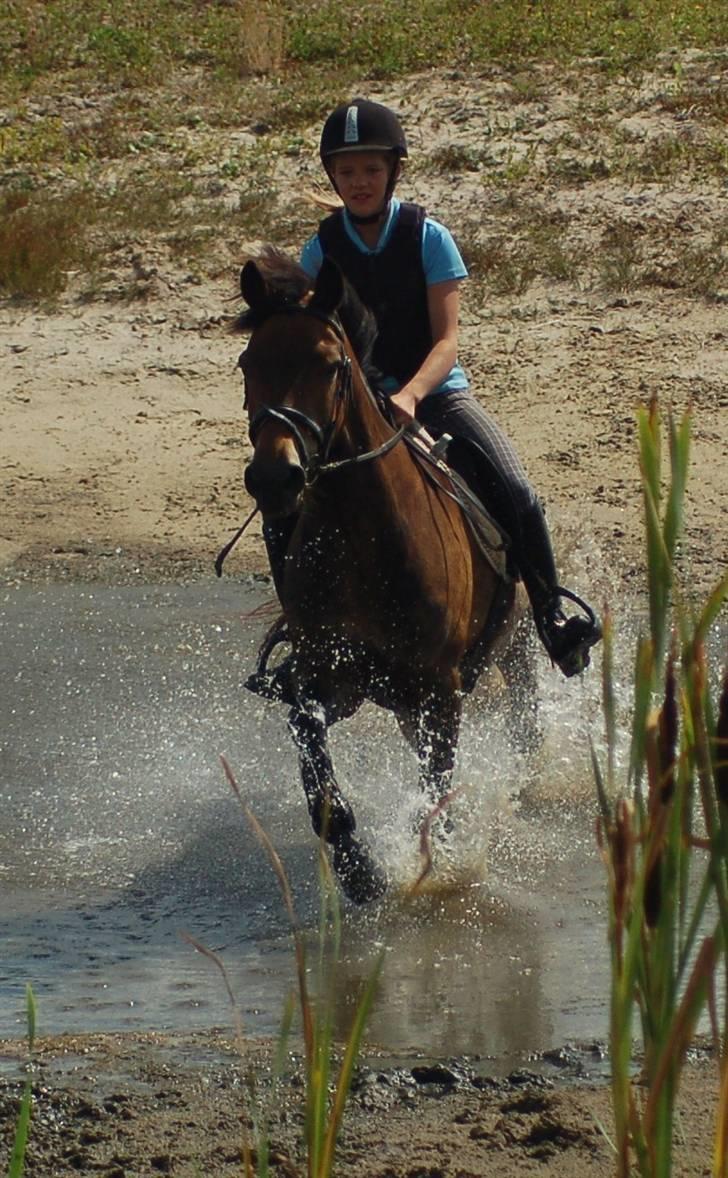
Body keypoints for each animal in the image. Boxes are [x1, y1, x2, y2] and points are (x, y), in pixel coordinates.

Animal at [232, 248, 536, 904]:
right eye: (248, 364)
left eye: (328, 365)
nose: (274, 477)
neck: (366, 539)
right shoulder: (335, 678)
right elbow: (312, 750)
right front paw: (358, 869)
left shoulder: (440, 687)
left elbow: (437, 786)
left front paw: (441, 865)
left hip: (516, 632)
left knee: (525, 697)